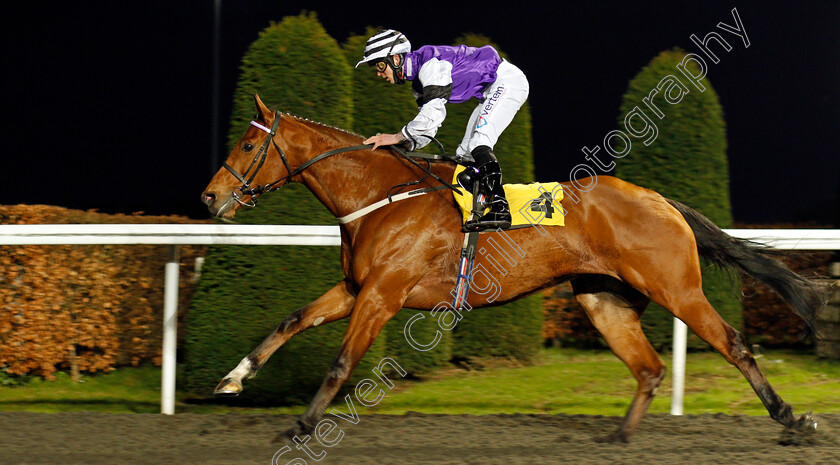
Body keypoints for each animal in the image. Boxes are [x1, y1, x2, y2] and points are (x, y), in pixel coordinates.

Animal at [200, 93, 824, 442]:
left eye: (245, 147)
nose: (209, 198)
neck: (381, 196)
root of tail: (663, 201)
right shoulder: (357, 287)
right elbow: (291, 320)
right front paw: (232, 378)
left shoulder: (383, 293)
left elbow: (339, 363)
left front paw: (303, 424)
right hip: (604, 300)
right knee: (648, 369)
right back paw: (618, 438)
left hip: (678, 289)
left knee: (734, 344)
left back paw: (792, 420)